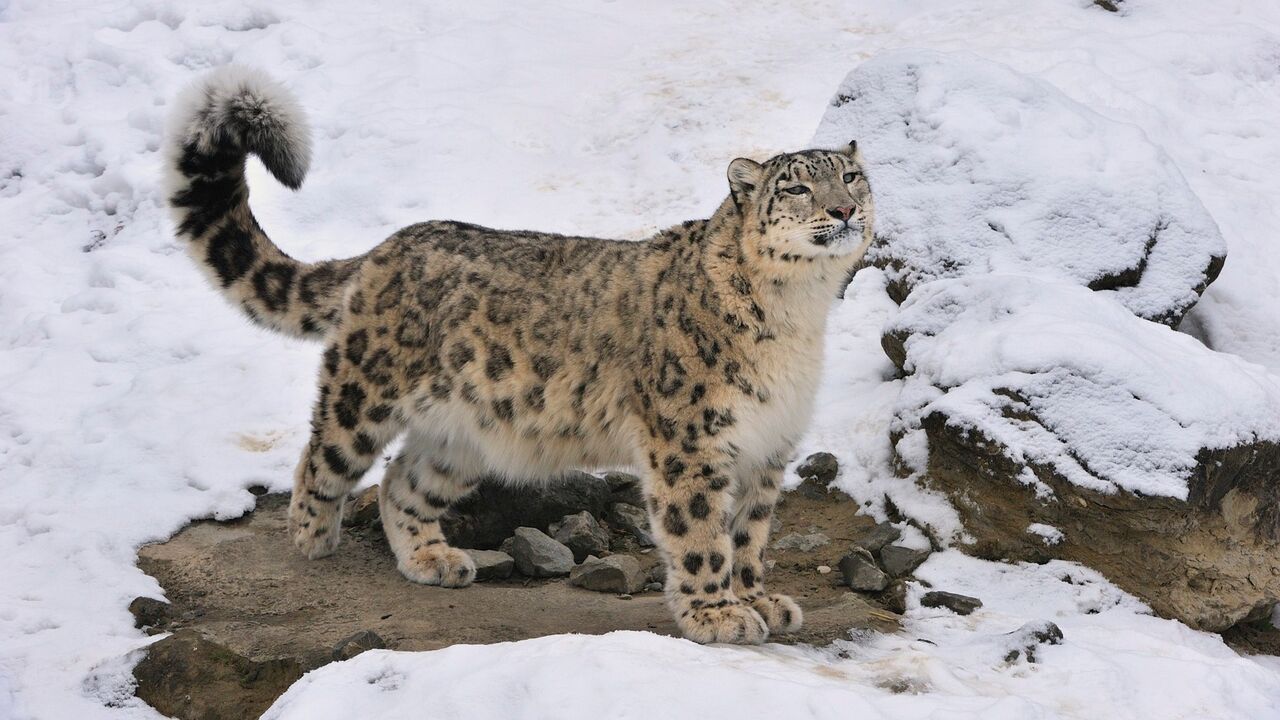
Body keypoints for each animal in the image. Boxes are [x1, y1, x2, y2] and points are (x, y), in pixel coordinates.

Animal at [163, 66, 875, 645]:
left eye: (851, 177)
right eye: (795, 189)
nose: (845, 209)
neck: (798, 313)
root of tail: (385, 248)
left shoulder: (767, 446)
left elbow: (750, 534)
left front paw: (760, 600)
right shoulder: (691, 442)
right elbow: (702, 534)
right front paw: (718, 615)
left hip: (462, 437)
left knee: (401, 483)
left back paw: (433, 560)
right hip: (364, 394)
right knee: (323, 455)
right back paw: (314, 539)